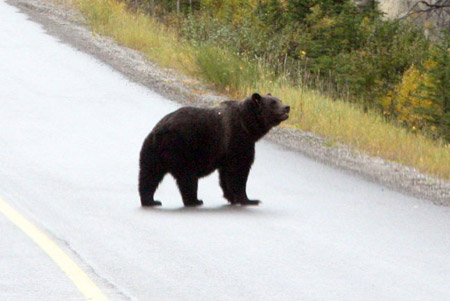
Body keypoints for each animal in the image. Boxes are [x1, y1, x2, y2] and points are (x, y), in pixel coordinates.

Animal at [139, 92, 290, 206]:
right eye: (273, 102)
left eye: (280, 99)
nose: (287, 107)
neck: (248, 125)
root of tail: (161, 131)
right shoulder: (238, 139)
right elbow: (240, 170)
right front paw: (249, 199)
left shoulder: (227, 153)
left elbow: (225, 175)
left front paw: (231, 197)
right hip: (182, 148)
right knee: (187, 176)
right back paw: (194, 200)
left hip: (151, 150)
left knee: (149, 174)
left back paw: (151, 200)